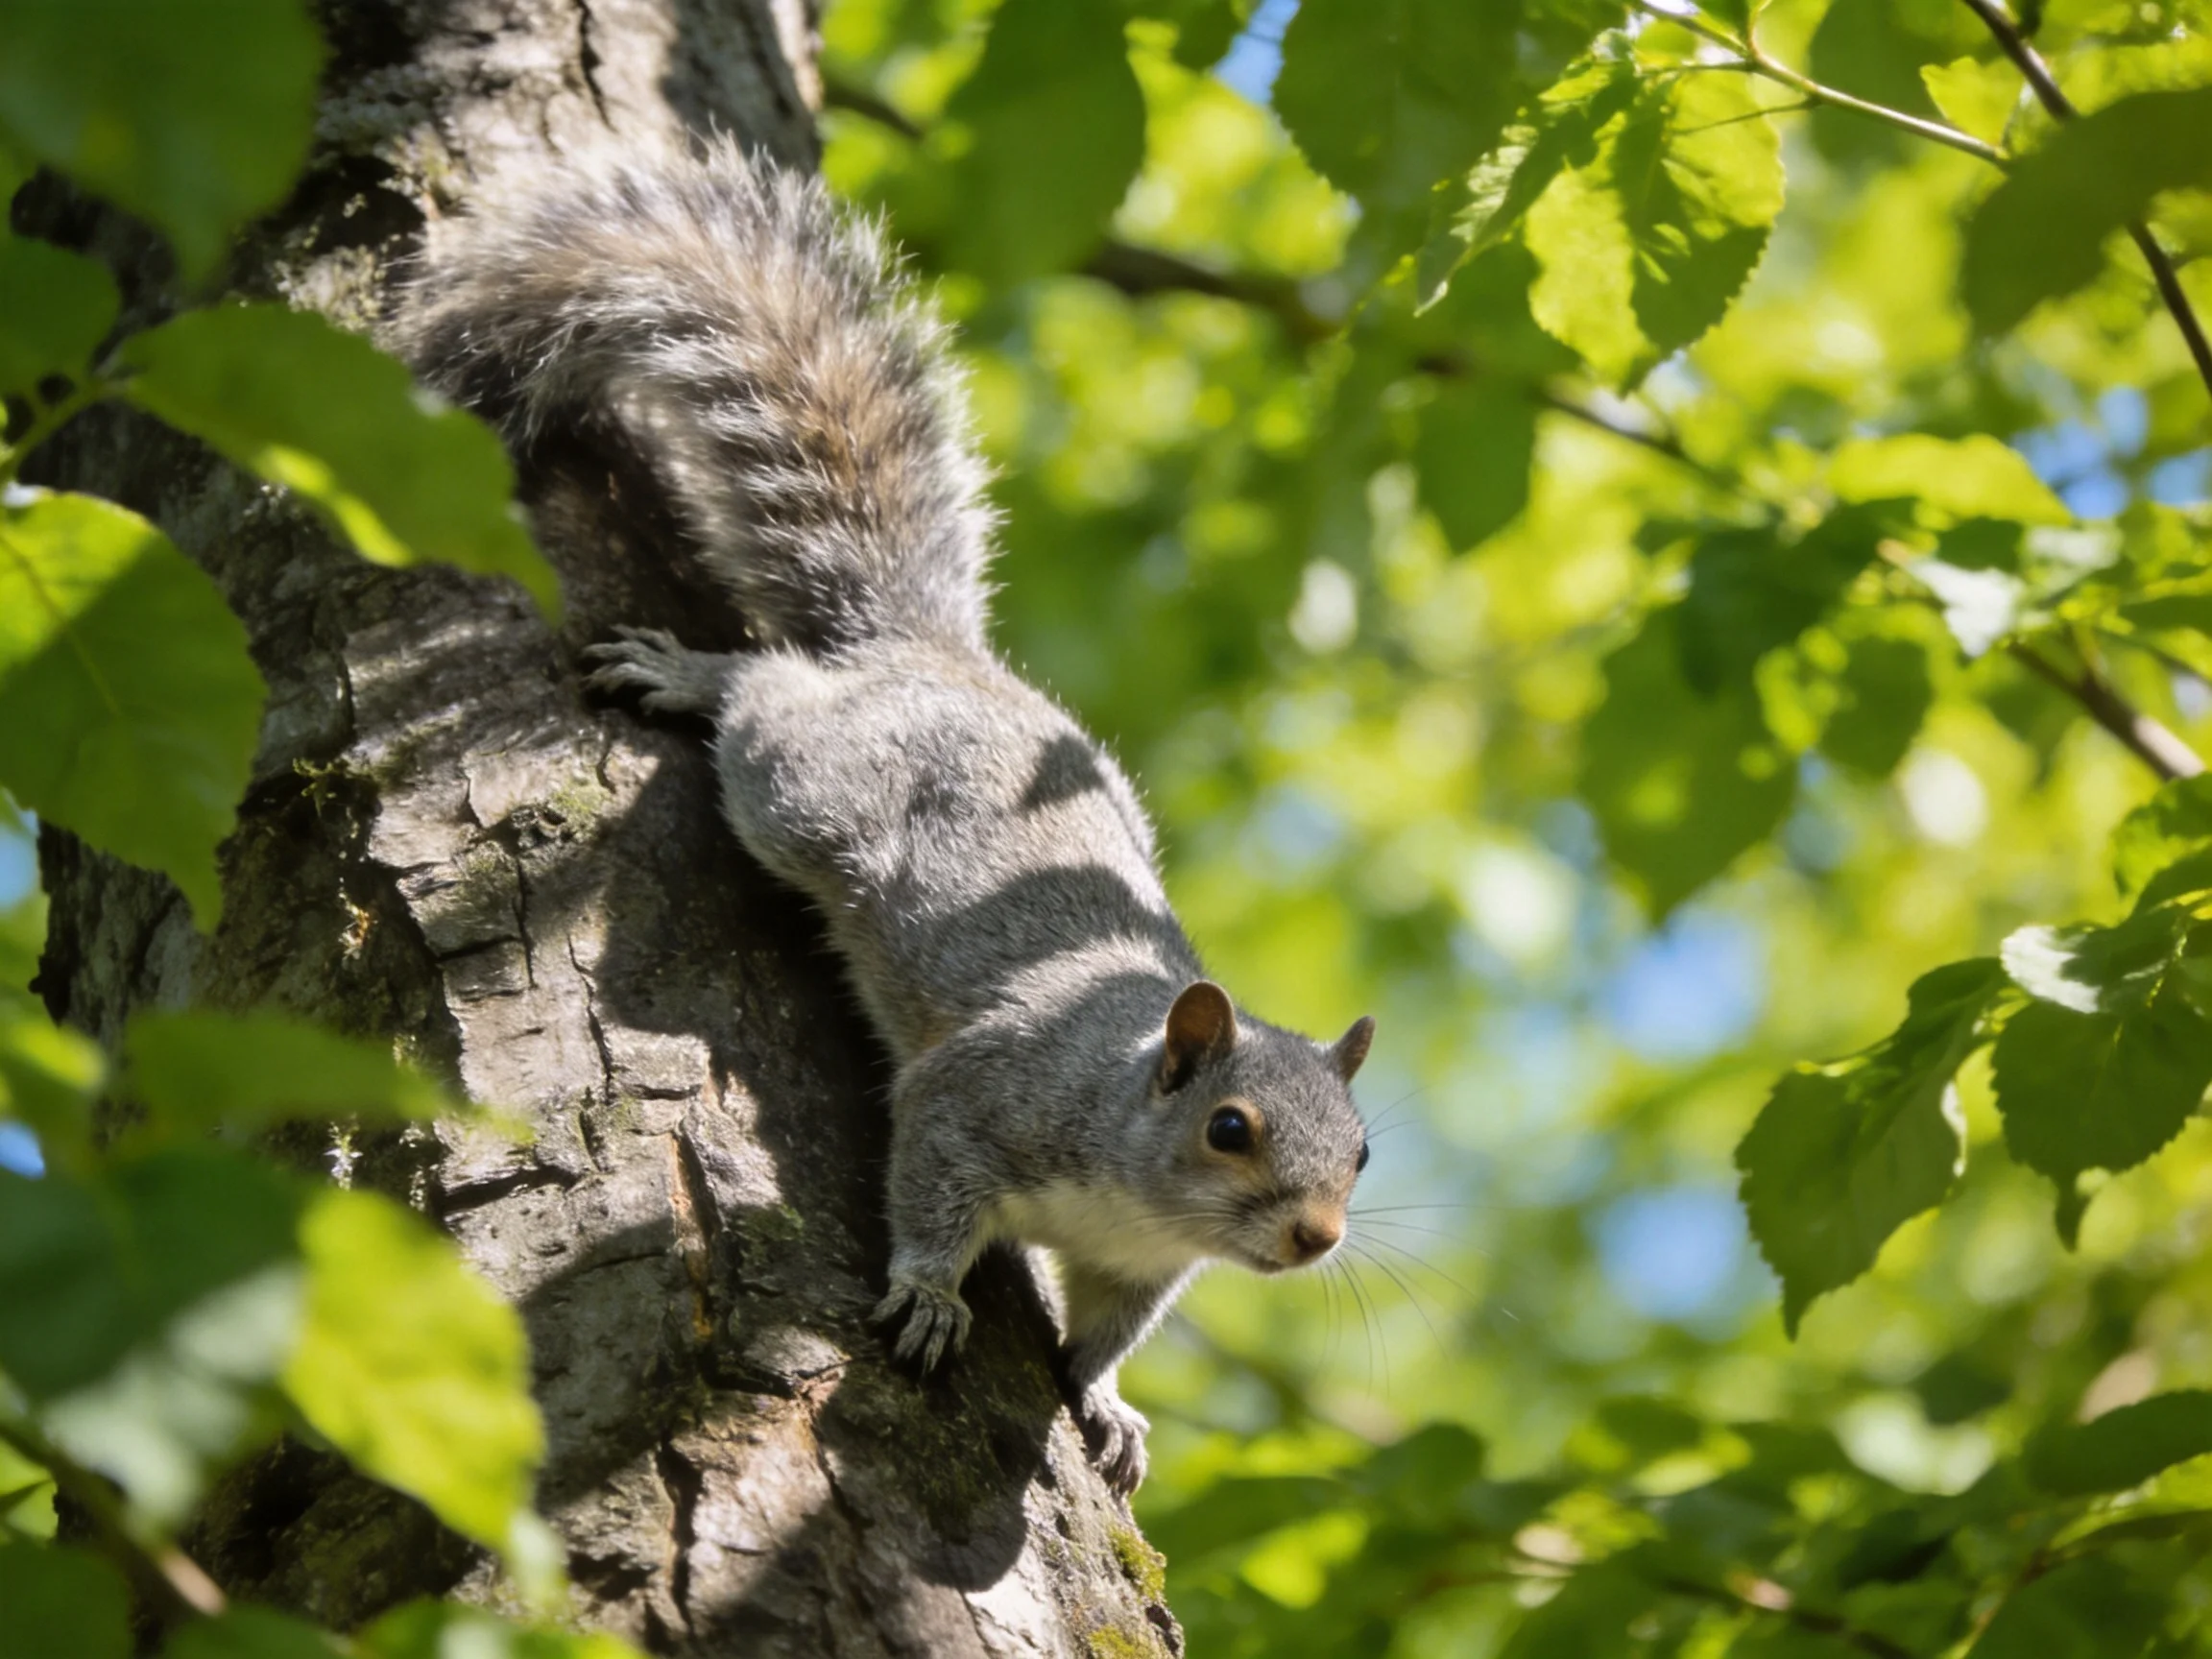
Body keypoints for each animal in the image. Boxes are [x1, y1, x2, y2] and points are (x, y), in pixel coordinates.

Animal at [398, 143, 1375, 1494]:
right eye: (1230, 1127)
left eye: (1366, 1151)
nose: (1317, 1235)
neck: (1135, 1157)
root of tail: (924, 653)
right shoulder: (983, 1099)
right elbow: (926, 1188)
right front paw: (929, 1297)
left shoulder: (1139, 1266)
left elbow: (1110, 1331)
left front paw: (1109, 1402)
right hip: (809, 795)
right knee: (767, 700)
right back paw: (694, 675)